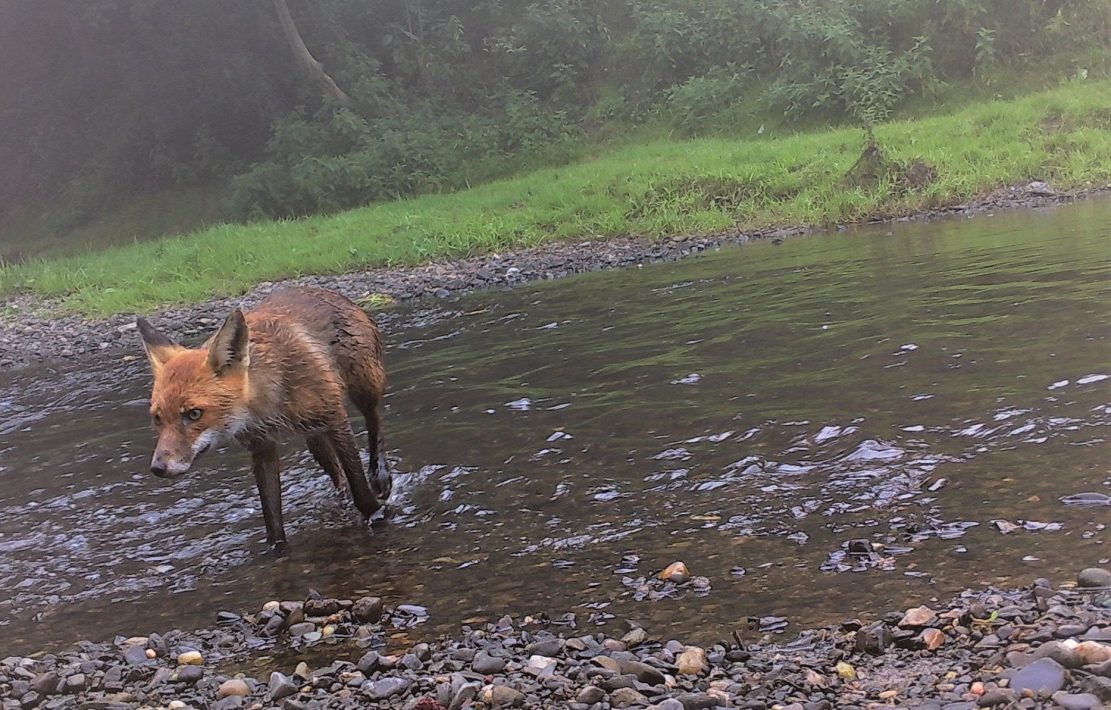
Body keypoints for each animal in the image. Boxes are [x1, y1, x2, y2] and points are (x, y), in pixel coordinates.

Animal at [137, 286, 393, 546]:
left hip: (364, 386)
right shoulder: (262, 448)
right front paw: (276, 548)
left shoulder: (335, 418)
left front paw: (377, 514)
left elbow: (359, 485)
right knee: (337, 474)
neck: (270, 407)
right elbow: (272, 518)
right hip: (314, 438)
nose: (158, 467)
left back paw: (380, 473)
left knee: (374, 420)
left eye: (194, 414)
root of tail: (325, 291)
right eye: (157, 418)